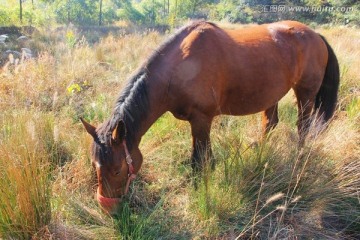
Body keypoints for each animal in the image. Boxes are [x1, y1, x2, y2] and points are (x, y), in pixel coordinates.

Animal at [80, 20, 338, 214]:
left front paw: (199, 191)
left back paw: (298, 158)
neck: (179, 68)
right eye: (95, 166)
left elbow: (199, 160)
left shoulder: (201, 119)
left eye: (116, 170)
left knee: (303, 127)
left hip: (305, 93)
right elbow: (205, 156)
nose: (107, 208)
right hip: (271, 95)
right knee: (270, 124)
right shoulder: (198, 123)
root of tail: (315, 35)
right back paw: (261, 154)